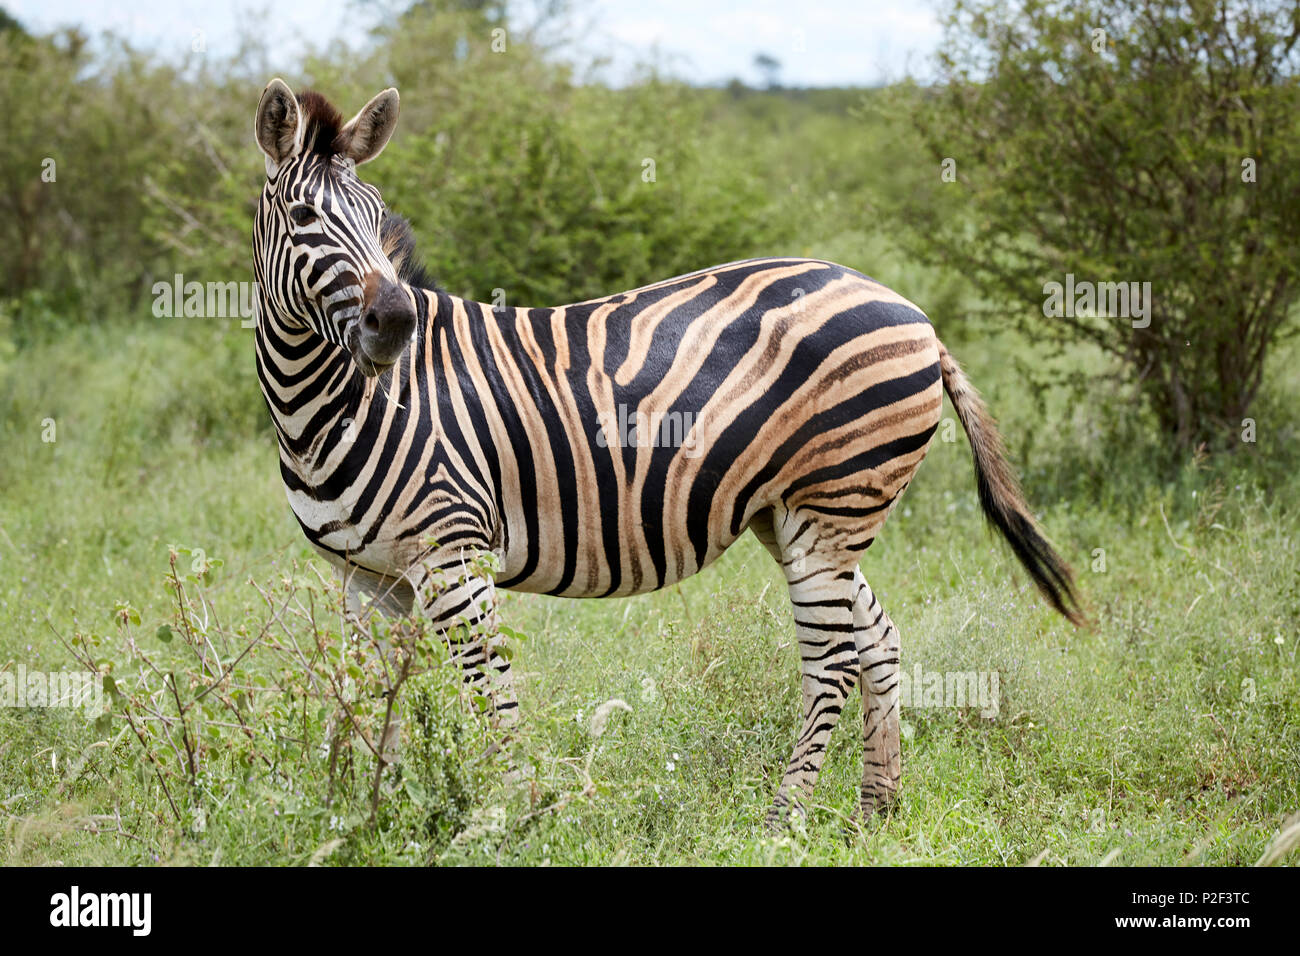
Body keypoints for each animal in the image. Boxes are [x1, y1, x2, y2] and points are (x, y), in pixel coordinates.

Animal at [248, 78, 1081, 827]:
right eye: (304, 215)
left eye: (377, 213)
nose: (395, 323)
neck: (331, 406)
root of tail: (918, 317)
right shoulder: (365, 576)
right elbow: (365, 698)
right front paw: (361, 816)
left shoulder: (453, 553)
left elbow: (489, 691)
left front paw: (508, 817)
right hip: (802, 515)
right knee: (876, 638)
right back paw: (877, 809)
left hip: (834, 502)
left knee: (833, 659)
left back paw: (784, 819)